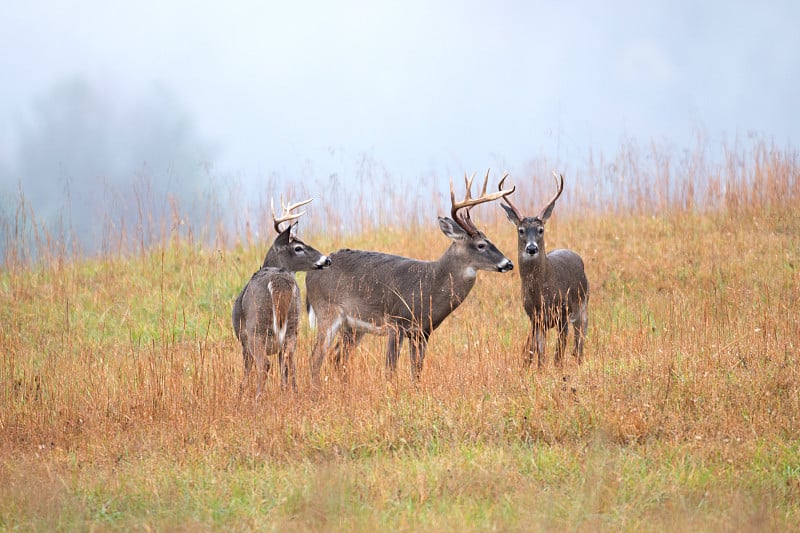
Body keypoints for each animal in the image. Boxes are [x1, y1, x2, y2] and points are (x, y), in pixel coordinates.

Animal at [231, 197, 332, 396]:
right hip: (293, 324)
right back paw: (294, 394)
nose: (327, 260)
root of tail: (279, 281)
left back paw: (257, 398)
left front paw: (240, 393)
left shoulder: (243, 338)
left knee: (264, 364)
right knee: (289, 360)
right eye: (298, 247)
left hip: (257, 327)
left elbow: (247, 369)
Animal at [304, 172, 516, 384]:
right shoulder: (396, 323)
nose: (508, 263)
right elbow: (390, 369)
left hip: (353, 326)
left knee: (337, 356)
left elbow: (417, 371)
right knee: (316, 357)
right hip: (328, 311)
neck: (430, 286)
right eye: (481, 245)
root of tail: (310, 273)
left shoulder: (423, 332)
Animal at [500, 172, 588, 368]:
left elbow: (558, 352)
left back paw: (579, 361)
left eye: (540, 229)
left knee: (580, 338)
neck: (541, 296)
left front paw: (558, 369)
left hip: (583, 305)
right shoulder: (535, 318)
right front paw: (540, 370)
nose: (532, 248)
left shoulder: (563, 312)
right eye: (521, 230)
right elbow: (540, 352)